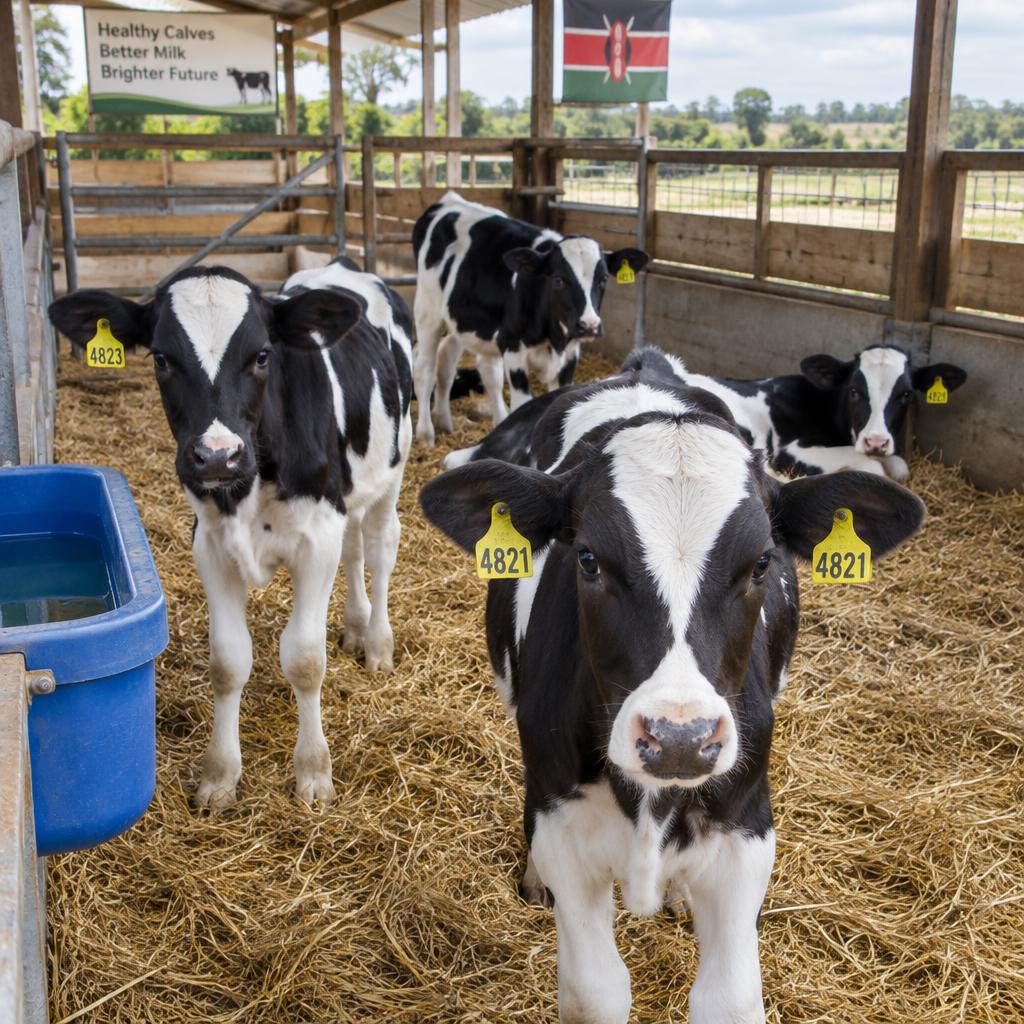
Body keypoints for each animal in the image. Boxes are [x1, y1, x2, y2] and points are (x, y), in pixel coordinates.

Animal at [48, 257, 413, 808]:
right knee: (354, 552)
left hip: (393, 466)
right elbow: (227, 661)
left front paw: (313, 773)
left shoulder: (316, 537)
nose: (217, 456)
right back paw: (354, 626)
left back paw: (376, 644)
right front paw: (219, 776)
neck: (248, 484)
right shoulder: (211, 546)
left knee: (379, 549)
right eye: (161, 358)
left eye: (262, 355)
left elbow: (305, 659)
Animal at [410, 190, 648, 445]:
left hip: (461, 321)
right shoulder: (513, 347)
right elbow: (522, 406)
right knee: (426, 368)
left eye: (603, 279)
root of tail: (449, 199)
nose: (589, 325)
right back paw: (426, 434)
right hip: (428, 310)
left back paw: (448, 421)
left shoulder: (570, 355)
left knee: (461, 365)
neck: (553, 337)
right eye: (558, 280)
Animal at [420, 361, 926, 1024]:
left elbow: (730, 997)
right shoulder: (565, 833)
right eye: (588, 559)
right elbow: (595, 991)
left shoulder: (745, 835)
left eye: (762, 563)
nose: (679, 738)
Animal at [445, 345, 967, 482]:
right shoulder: (795, 449)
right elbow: (875, 469)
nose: (877, 437)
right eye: (856, 390)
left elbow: (898, 466)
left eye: (905, 394)